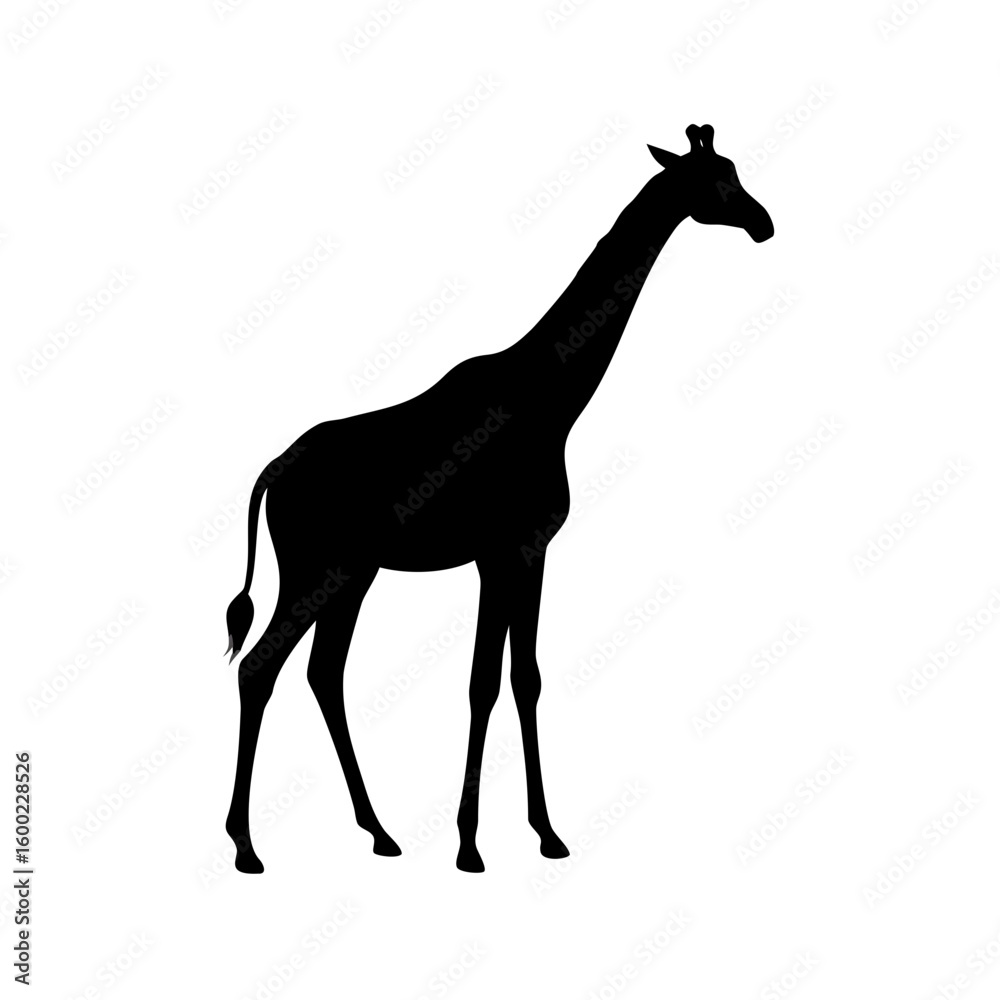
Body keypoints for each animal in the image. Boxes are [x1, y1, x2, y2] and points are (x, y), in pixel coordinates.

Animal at [224, 124, 773, 874]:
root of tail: (272, 472)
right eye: (714, 179)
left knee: (322, 674)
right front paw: (470, 845)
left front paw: (544, 833)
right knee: (261, 667)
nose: (763, 222)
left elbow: (523, 677)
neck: (554, 398)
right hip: (316, 569)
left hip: (353, 574)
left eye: (735, 170)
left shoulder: (527, 549)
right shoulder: (500, 551)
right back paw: (247, 846)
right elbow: (484, 681)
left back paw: (380, 832)